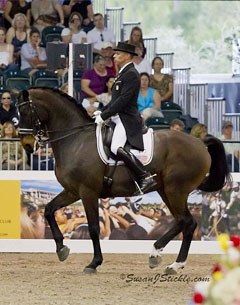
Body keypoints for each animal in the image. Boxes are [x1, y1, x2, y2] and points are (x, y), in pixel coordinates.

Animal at [16, 87, 231, 274]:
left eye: (25, 111)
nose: (26, 146)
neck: (75, 140)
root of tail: (200, 143)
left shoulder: (87, 191)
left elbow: (93, 228)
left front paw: (94, 263)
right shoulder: (72, 191)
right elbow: (49, 210)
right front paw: (61, 249)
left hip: (175, 190)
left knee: (187, 222)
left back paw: (167, 260)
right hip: (166, 190)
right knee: (183, 222)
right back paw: (163, 259)